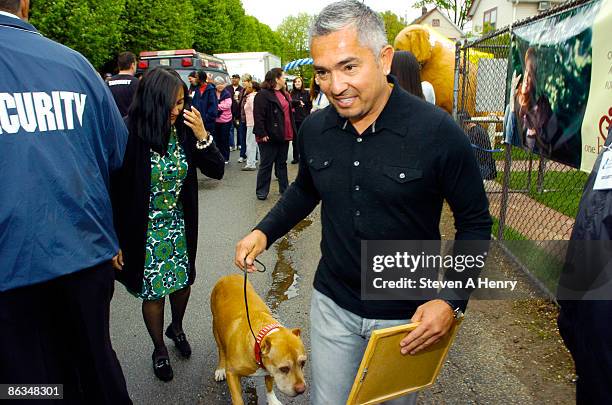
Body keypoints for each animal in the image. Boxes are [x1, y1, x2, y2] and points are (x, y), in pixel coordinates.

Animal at [212, 274, 308, 402]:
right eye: (284, 368)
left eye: (303, 363)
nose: (301, 389)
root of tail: (228, 276)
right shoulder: (232, 374)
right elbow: (237, 398)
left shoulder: (269, 370)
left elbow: (269, 386)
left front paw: (273, 401)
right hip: (215, 328)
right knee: (221, 349)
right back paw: (220, 368)